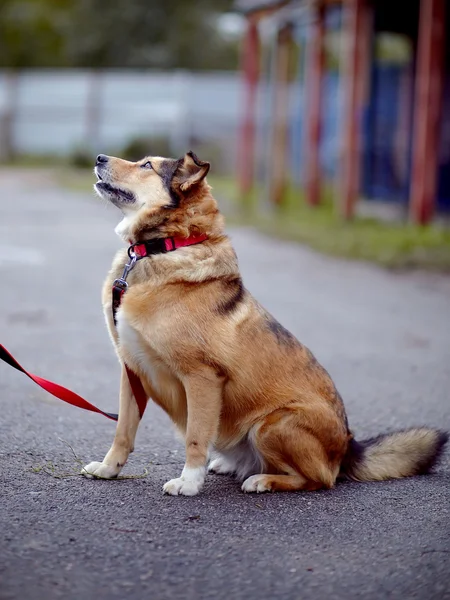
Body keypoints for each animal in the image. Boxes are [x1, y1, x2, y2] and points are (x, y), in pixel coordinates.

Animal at [81, 151, 446, 496]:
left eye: (147, 166)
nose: (98, 157)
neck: (165, 247)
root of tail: (347, 448)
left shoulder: (202, 377)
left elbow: (196, 437)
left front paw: (189, 483)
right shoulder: (132, 370)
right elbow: (123, 430)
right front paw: (108, 468)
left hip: (271, 425)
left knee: (319, 479)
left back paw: (263, 480)